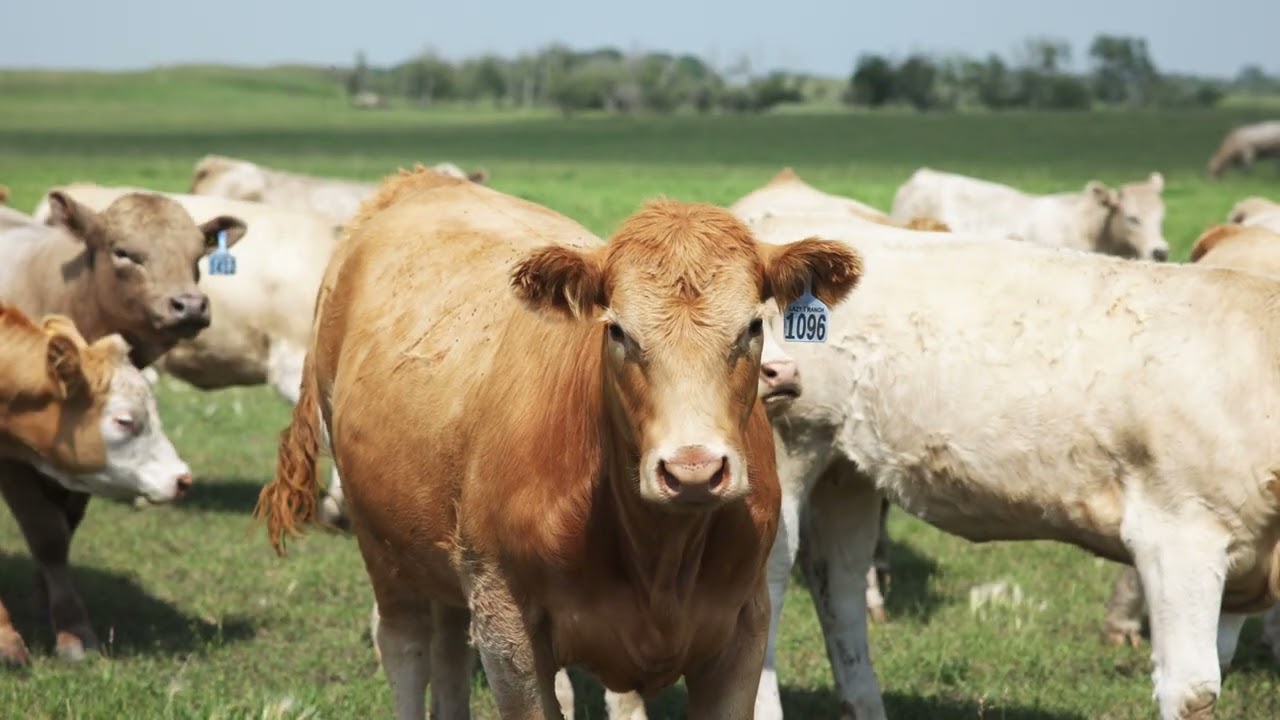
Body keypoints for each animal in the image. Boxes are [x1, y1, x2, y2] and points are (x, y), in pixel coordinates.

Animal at [254, 166, 864, 719]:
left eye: (753, 327)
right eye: (617, 330)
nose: (693, 470)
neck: (659, 558)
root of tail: (420, 181)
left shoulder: (742, 630)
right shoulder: (508, 631)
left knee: (449, 649)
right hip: (382, 547)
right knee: (406, 649)